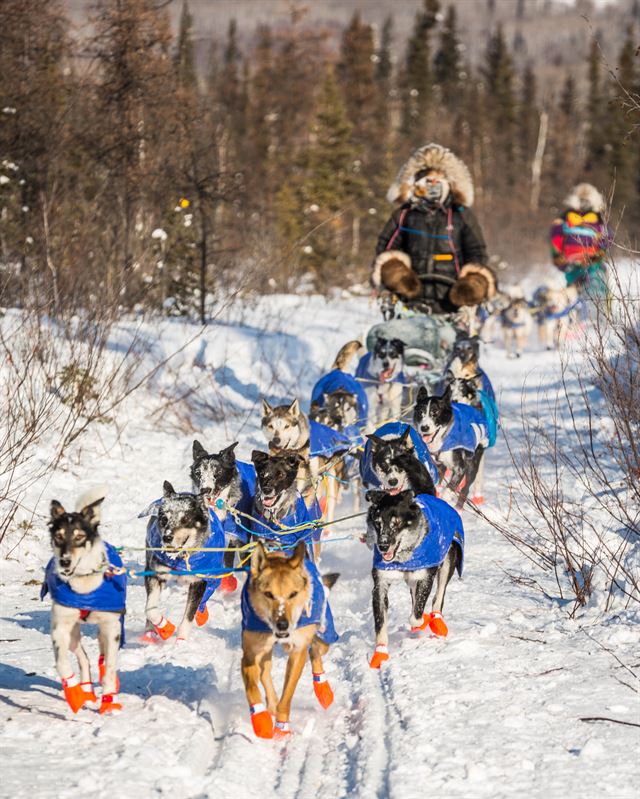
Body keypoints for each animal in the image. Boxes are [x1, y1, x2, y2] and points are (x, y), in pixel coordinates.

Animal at [142, 482, 210, 644]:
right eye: (164, 519)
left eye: (185, 519)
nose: (167, 537)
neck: (179, 558)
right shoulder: (155, 574)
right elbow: (150, 609)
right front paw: (164, 627)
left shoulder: (198, 581)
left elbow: (190, 614)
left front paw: (181, 641)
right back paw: (149, 632)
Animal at [364, 490, 464, 672]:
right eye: (377, 523)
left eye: (396, 523)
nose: (383, 546)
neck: (403, 558)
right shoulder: (380, 585)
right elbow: (380, 622)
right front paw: (380, 653)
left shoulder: (426, 577)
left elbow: (416, 615)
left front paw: (423, 620)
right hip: (411, 581)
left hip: (448, 562)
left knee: (438, 597)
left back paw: (436, 620)